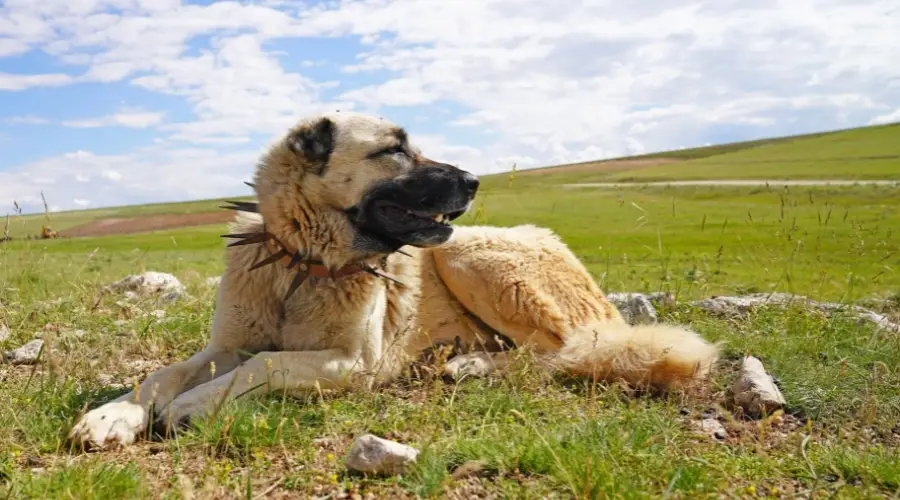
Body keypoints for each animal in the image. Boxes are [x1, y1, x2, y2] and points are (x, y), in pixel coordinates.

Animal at [67, 111, 720, 448]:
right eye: (394, 151)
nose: (475, 180)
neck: (303, 264)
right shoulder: (226, 346)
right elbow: (162, 373)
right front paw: (113, 415)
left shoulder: (353, 363)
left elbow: (264, 365)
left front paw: (194, 405)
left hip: (474, 255)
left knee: (560, 353)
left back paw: (470, 365)